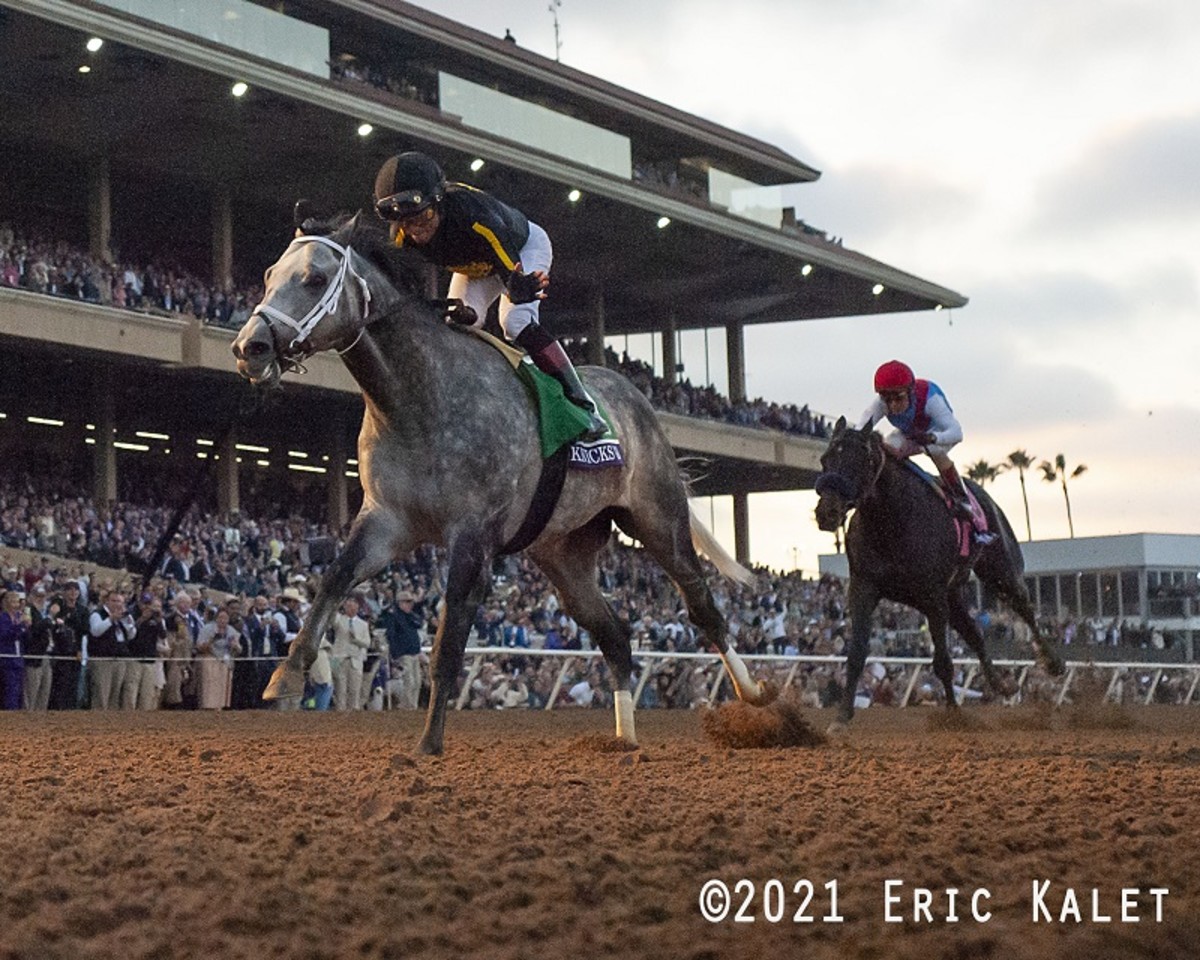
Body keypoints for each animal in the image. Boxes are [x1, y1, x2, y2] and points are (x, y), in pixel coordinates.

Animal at [231, 211, 772, 754]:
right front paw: (285, 675)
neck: (418, 399)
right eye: (268, 276)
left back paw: (756, 698)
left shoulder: (474, 534)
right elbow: (334, 578)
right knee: (615, 636)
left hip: (658, 518)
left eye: (314, 278)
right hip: (562, 553)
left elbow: (449, 641)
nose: (249, 347)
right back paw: (623, 739)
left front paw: (428, 744)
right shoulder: (388, 519)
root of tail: (636, 397)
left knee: (703, 609)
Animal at [813, 416, 1064, 730]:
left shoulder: (932, 595)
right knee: (975, 633)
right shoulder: (864, 586)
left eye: (861, 460)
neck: (891, 520)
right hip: (953, 595)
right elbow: (857, 652)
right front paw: (841, 717)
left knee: (1025, 608)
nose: (827, 512)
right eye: (825, 459)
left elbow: (943, 661)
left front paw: (954, 713)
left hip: (1000, 570)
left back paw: (1053, 662)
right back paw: (1002, 684)